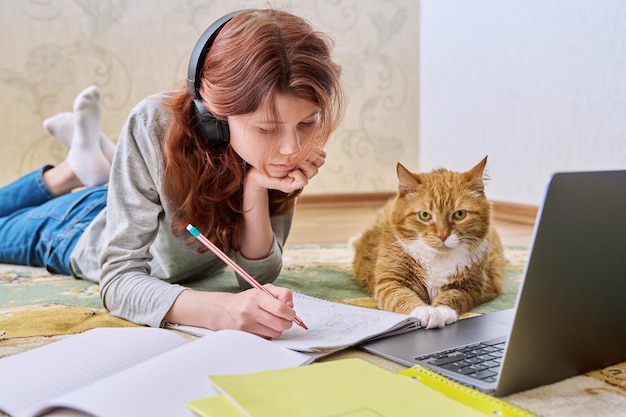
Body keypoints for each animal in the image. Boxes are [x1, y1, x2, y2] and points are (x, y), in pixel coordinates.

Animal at [352, 156, 502, 328]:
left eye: (459, 214)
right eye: (424, 215)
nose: (443, 235)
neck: (437, 259)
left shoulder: (471, 286)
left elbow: (453, 296)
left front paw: (441, 312)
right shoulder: (390, 282)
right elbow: (403, 297)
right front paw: (426, 312)